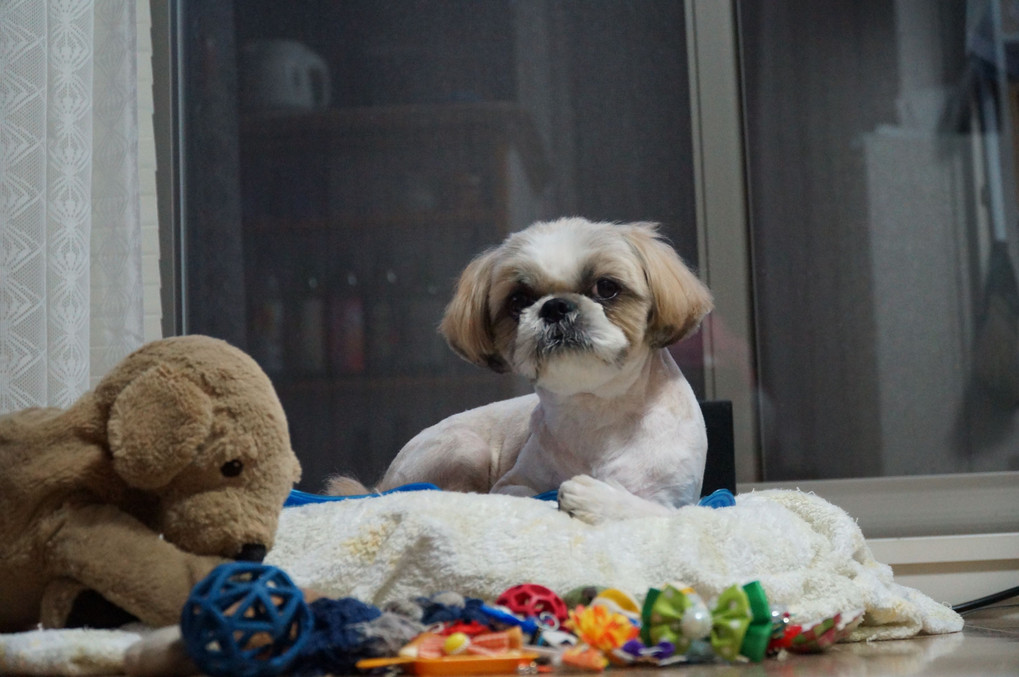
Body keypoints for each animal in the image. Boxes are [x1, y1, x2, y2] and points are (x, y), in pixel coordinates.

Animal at [330, 217, 713, 522]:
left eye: (606, 287)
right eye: (518, 300)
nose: (555, 307)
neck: (597, 414)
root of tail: (378, 485)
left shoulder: (680, 499)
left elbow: (659, 511)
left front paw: (596, 499)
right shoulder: (513, 484)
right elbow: (527, 496)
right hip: (466, 447)